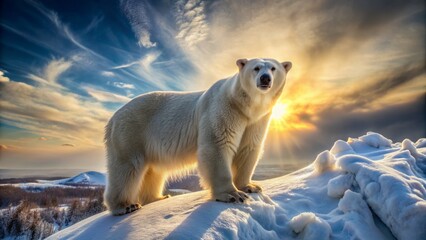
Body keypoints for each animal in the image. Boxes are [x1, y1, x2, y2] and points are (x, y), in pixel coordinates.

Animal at [104, 58, 290, 216]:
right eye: (256, 68)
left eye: (273, 68)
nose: (265, 78)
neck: (244, 105)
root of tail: (112, 119)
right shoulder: (223, 109)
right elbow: (218, 145)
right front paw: (233, 195)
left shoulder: (256, 120)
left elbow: (248, 148)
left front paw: (250, 187)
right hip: (131, 132)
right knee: (127, 167)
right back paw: (125, 205)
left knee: (153, 171)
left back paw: (158, 197)